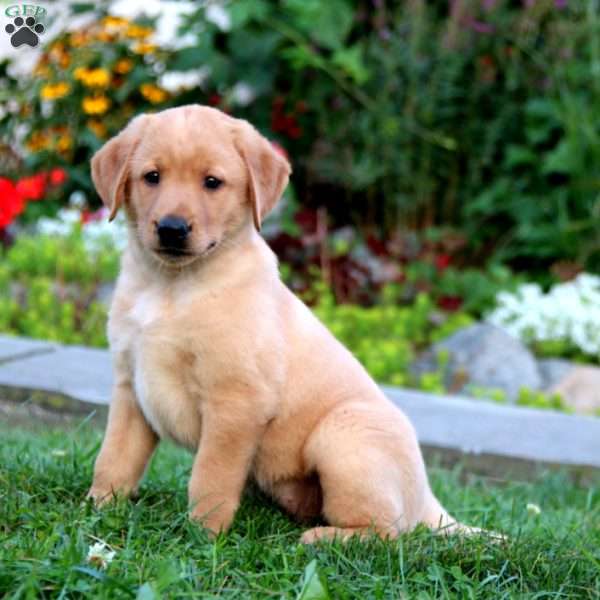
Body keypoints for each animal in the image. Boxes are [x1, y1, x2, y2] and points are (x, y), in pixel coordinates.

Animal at [89, 104, 472, 544]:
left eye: (212, 182)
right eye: (152, 176)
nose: (172, 228)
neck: (171, 285)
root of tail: (428, 500)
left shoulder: (236, 401)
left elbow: (210, 477)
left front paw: (205, 535)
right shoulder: (130, 387)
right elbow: (114, 457)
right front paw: (98, 508)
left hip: (343, 435)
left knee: (388, 533)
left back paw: (322, 538)